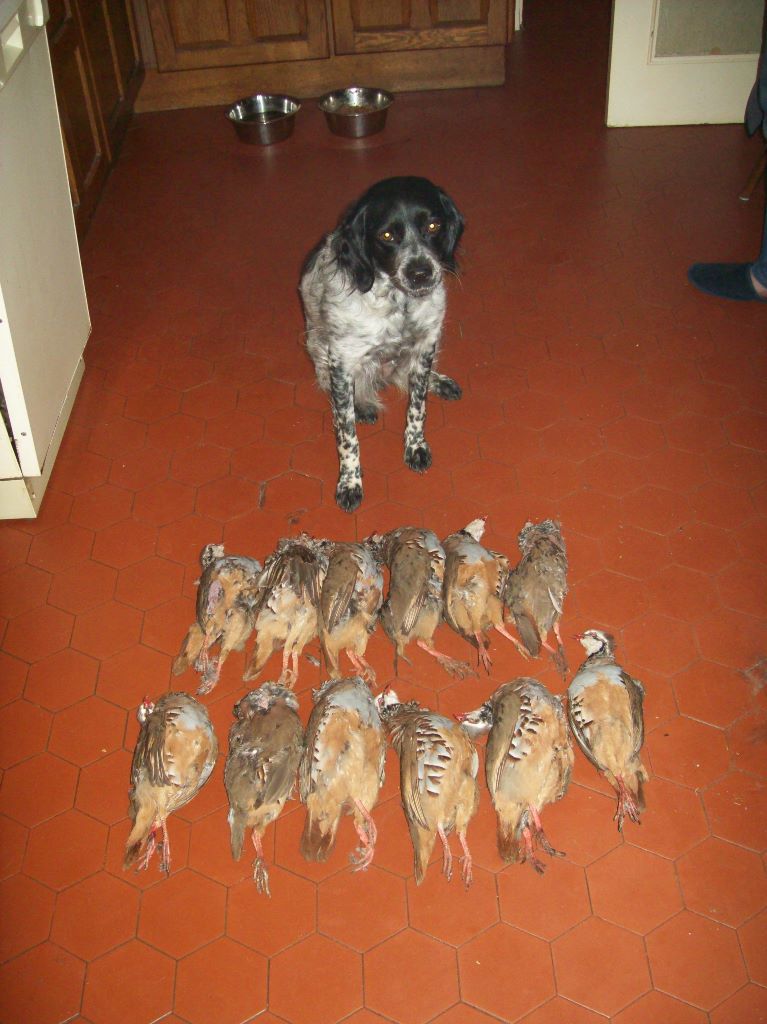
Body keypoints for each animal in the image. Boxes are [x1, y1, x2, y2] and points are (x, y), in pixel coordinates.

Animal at [301, 178, 462, 512]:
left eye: (433, 225)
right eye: (387, 235)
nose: (420, 273)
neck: (399, 304)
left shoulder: (426, 344)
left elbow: (417, 407)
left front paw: (415, 446)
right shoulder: (341, 361)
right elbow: (347, 435)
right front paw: (350, 482)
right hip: (318, 349)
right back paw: (362, 404)